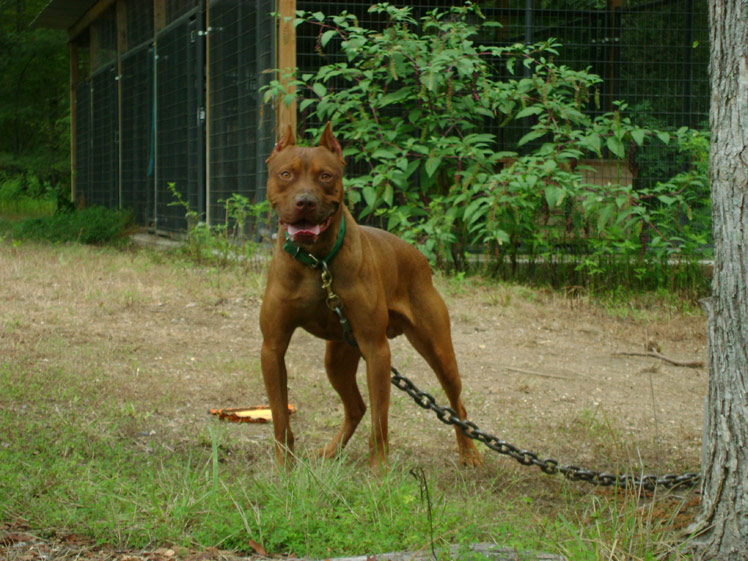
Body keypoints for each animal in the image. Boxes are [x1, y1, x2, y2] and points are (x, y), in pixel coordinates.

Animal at [262, 123, 486, 468]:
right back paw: (330, 451)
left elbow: (381, 422)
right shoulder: (272, 348)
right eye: (286, 174)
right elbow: (279, 417)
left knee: (456, 406)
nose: (305, 201)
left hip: (438, 350)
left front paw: (379, 472)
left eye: (326, 176)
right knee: (356, 407)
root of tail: (417, 256)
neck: (317, 262)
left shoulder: (376, 349)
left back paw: (469, 454)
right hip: (338, 358)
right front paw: (284, 467)